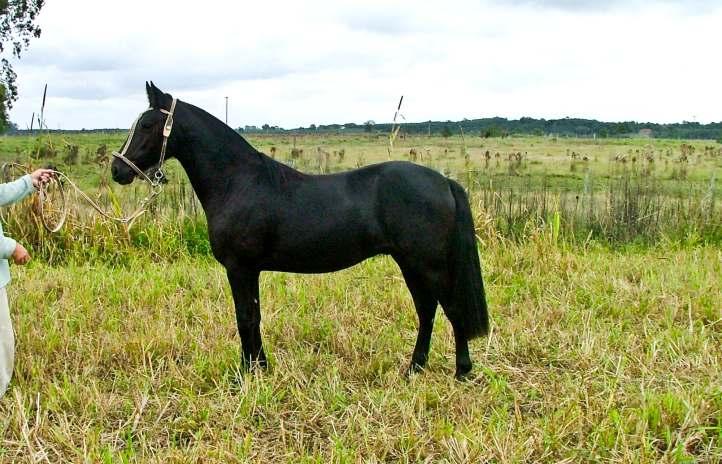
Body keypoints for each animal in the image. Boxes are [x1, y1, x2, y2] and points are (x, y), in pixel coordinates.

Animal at [109, 81, 486, 376]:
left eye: (147, 124)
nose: (117, 169)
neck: (238, 181)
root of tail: (443, 181)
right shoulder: (249, 270)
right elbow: (253, 317)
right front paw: (260, 368)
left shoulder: (240, 267)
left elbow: (245, 318)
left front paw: (246, 374)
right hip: (411, 263)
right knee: (427, 311)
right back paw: (414, 369)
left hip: (427, 263)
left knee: (450, 310)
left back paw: (461, 371)